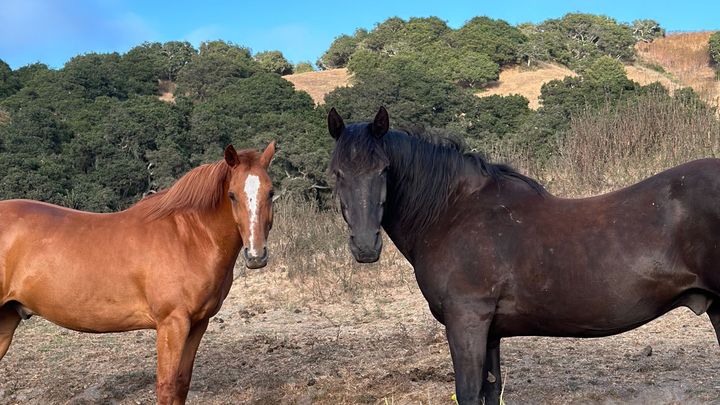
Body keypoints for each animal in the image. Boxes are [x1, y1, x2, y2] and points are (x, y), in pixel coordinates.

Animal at [0, 142, 276, 400]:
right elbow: (166, 387)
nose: (256, 255)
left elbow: (182, 385)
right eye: (232, 195)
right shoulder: (172, 324)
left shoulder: (198, 324)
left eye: (270, 192)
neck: (188, 237)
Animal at [330, 106, 720, 404]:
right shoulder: (489, 333)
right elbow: (490, 392)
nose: (365, 246)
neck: (454, 213)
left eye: (384, 169)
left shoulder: (467, 322)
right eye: (337, 173)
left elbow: (468, 394)